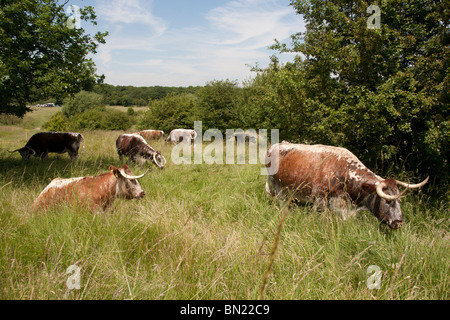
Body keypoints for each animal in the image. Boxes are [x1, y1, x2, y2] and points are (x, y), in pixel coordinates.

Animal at [266, 143, 430, 230]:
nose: (398, 223)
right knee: (280, 200)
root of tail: (277, 145)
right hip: (277, 184)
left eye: (400, 201)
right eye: (388, 201)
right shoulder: (319, 199)